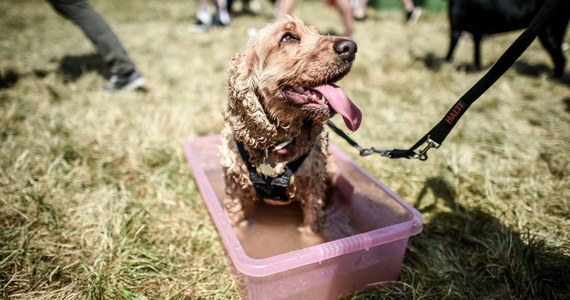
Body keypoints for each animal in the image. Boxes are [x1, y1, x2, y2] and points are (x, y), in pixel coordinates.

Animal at [217, 15, 360, 233]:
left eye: (317, 33)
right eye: (288, 37)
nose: (350, 47)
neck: (277, 142)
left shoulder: (313, 190)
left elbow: (311, 230)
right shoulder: (234, 188)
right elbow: (236, 224)